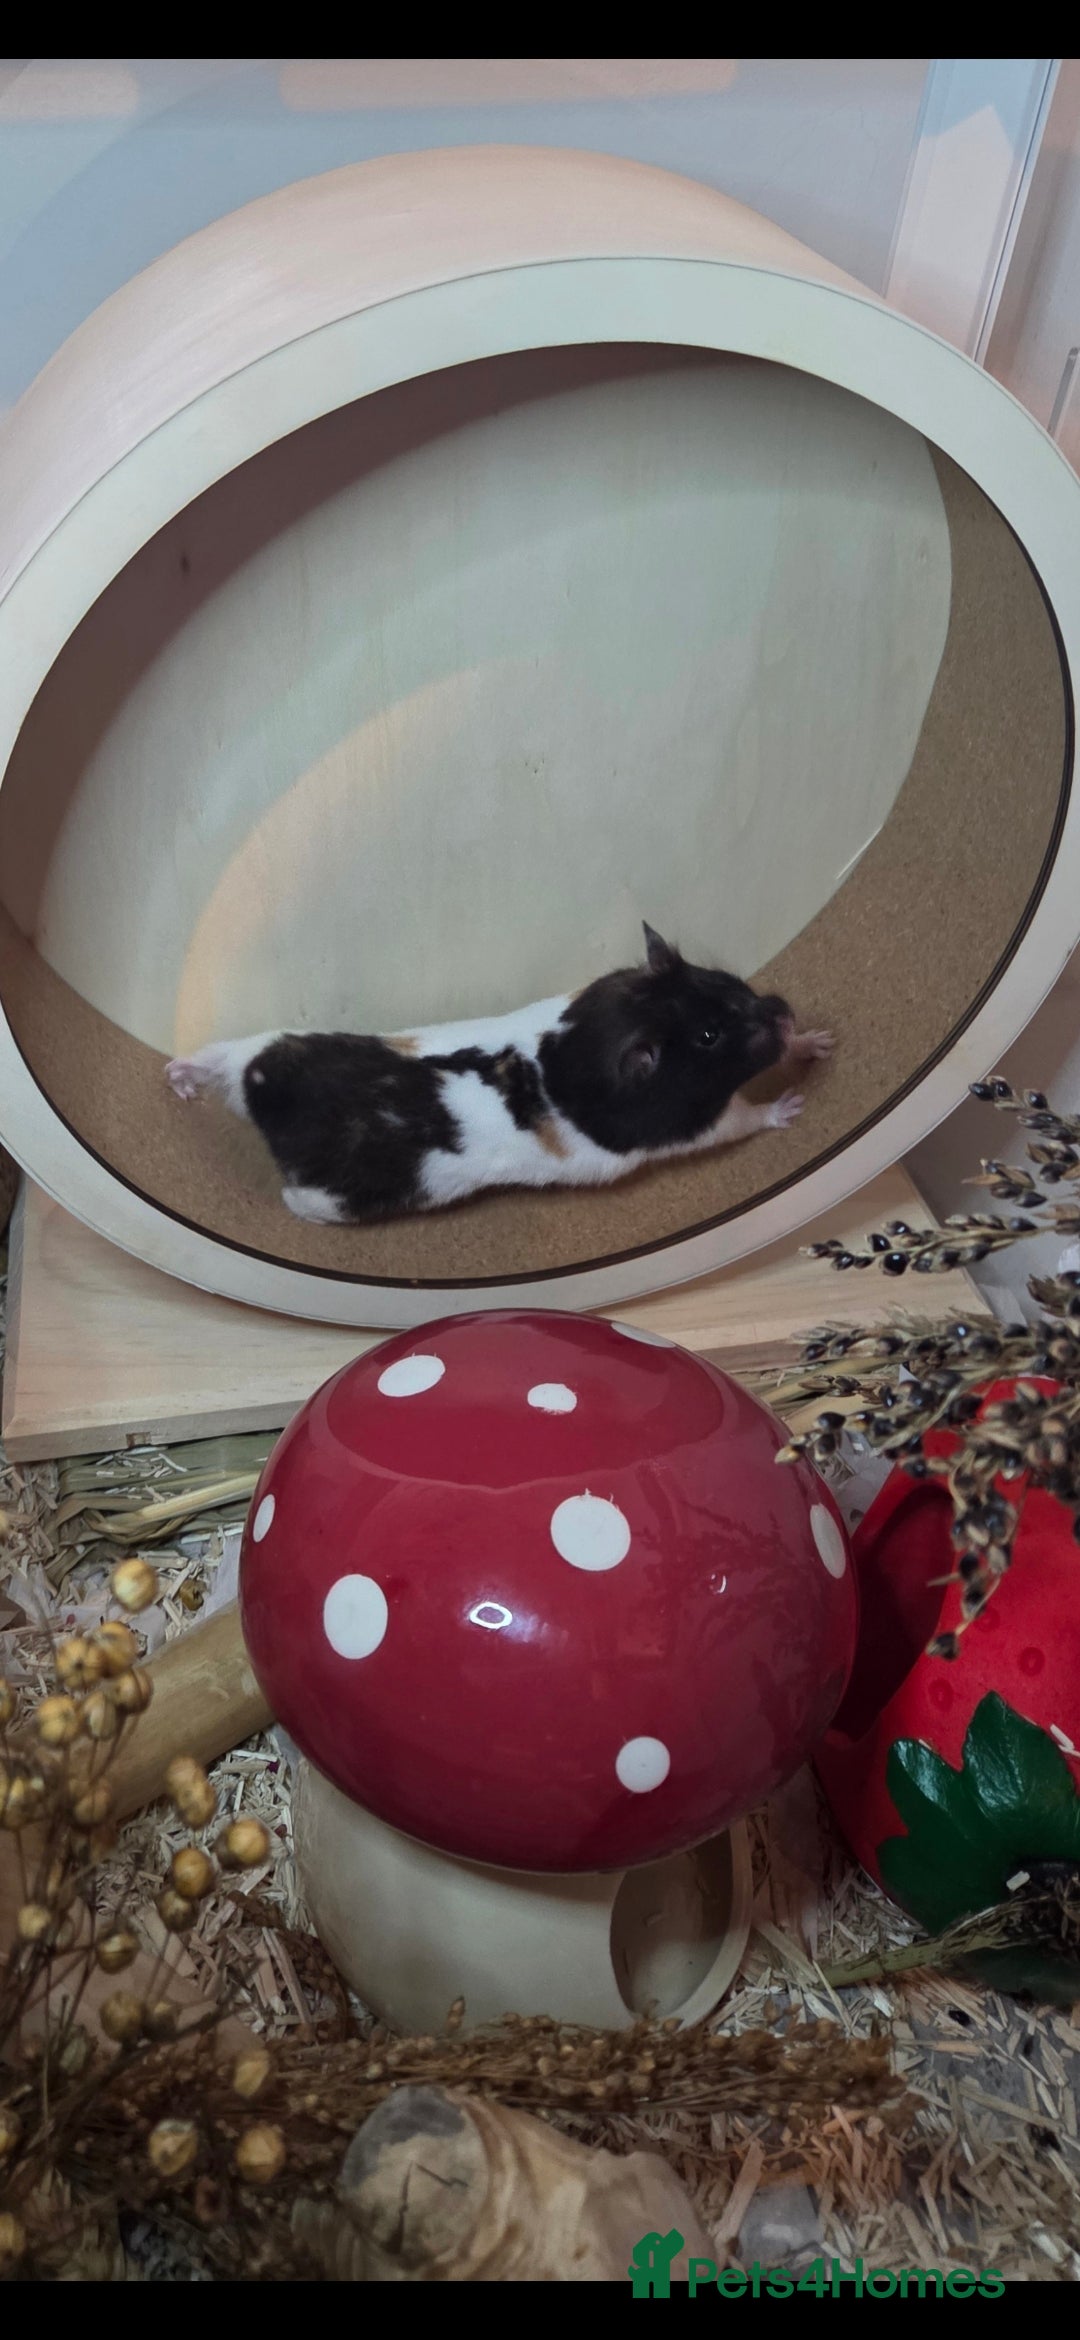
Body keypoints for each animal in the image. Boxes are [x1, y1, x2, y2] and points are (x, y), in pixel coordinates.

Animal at [165, 923, 832, 1225]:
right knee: (295, 1197)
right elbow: (745, 1116)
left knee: (217, 1057)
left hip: (264, 1047)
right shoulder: (690, 1127)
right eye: (709, 1038)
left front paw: (819, 1041)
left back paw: (177, 1076)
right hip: (336, 1197)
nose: (785, 1010)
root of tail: (268, 1096)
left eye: (722, 982)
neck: (572, 1053)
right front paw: (792, 1105)